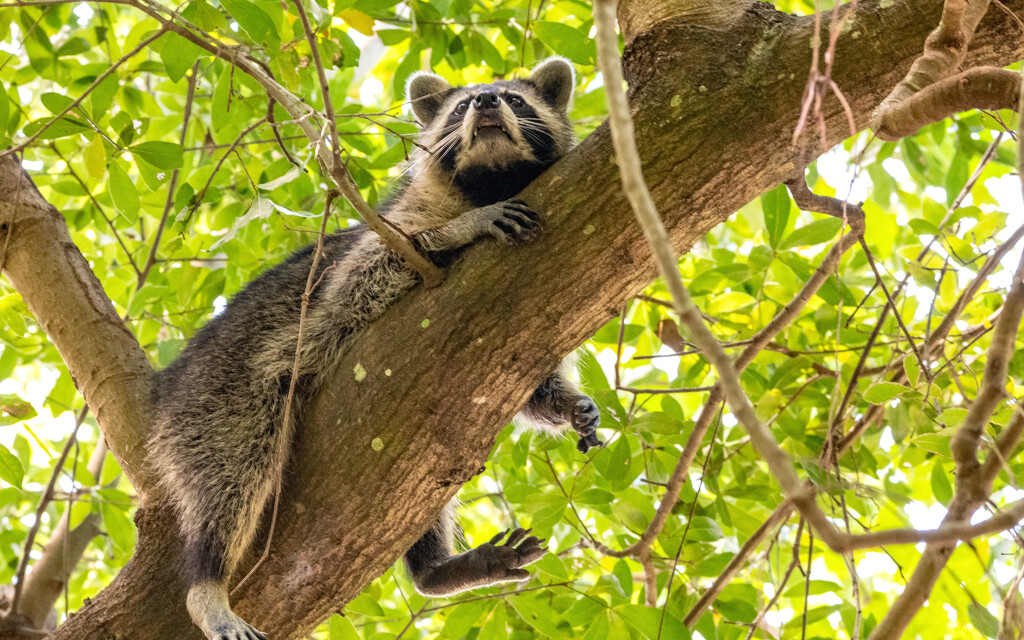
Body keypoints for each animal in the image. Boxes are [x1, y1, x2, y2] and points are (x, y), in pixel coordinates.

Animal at [150, 56, 598, 638]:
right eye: (461, 104)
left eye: (516, 100)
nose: (485, 102)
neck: (489, 178)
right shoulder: (384, 235)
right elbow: (361, 281)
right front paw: (460, 229)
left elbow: (531, 377)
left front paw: (567, 404)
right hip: (216, 401)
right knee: (233, 477)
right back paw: (208, 581)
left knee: (421, 482)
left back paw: (433, 567)